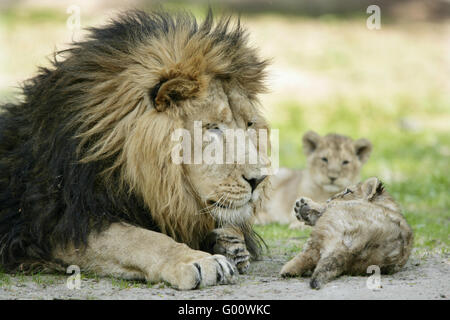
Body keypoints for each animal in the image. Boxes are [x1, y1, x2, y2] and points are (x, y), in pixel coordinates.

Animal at [0, 10, 268, 290]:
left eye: (249, 124)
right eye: (213, 127)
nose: (259, 179)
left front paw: (232, 244)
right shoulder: (62, 223)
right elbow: (140, 239)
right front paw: (198, 261)